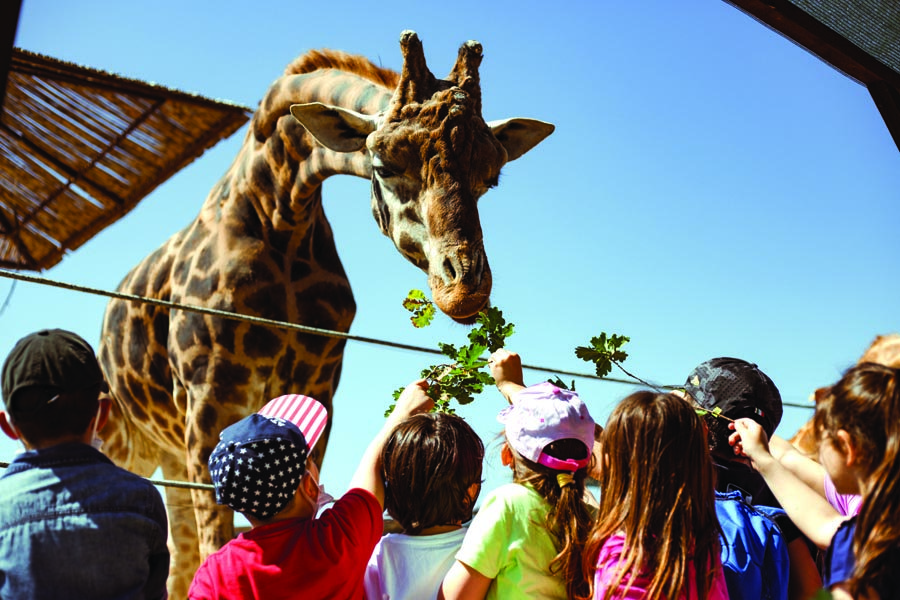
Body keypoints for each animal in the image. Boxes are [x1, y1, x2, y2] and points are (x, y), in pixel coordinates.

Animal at [95, 30, 552, 596]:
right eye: (383, 165)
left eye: (491, 177)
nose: (464, 289)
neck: (282, 219)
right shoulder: (210, 398)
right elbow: (215, 538)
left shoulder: (318, 388)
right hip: (130, 436)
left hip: (170, 443)